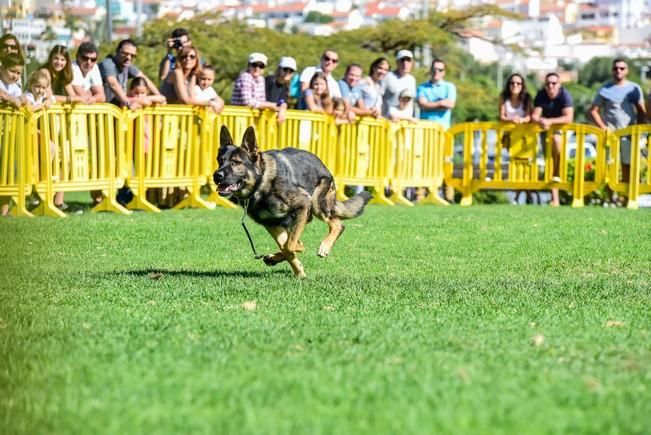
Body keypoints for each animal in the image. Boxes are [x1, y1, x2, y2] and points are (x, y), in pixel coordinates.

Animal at [214, 125, 372, 280]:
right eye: (220, 161)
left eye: (236, 162)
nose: (216, 175)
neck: (262, 183)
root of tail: (323, 165)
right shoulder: (271, 222)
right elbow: (285, 246)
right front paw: (299, 271)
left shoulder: (302, 204)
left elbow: (289, 245)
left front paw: (299, 249)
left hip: (317, 204)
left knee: (338, 224)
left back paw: (324, 246)